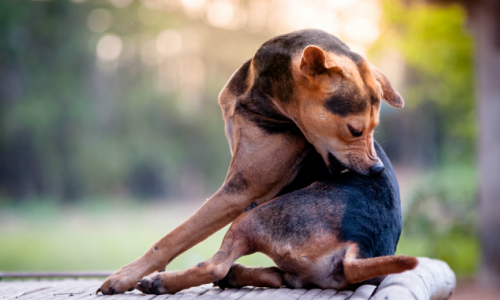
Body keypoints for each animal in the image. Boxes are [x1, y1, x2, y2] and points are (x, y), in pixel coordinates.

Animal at [96, 28, 406, 296]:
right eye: (355, 130)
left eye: (373, 128)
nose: (376, 169)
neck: (262, 94)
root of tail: (360, 247)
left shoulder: (239, 191)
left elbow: (173, 238)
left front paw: (125, 275)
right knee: (276, 276)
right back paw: (238, 276)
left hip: (252, 218)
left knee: (215, 266)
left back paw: (163, 281)